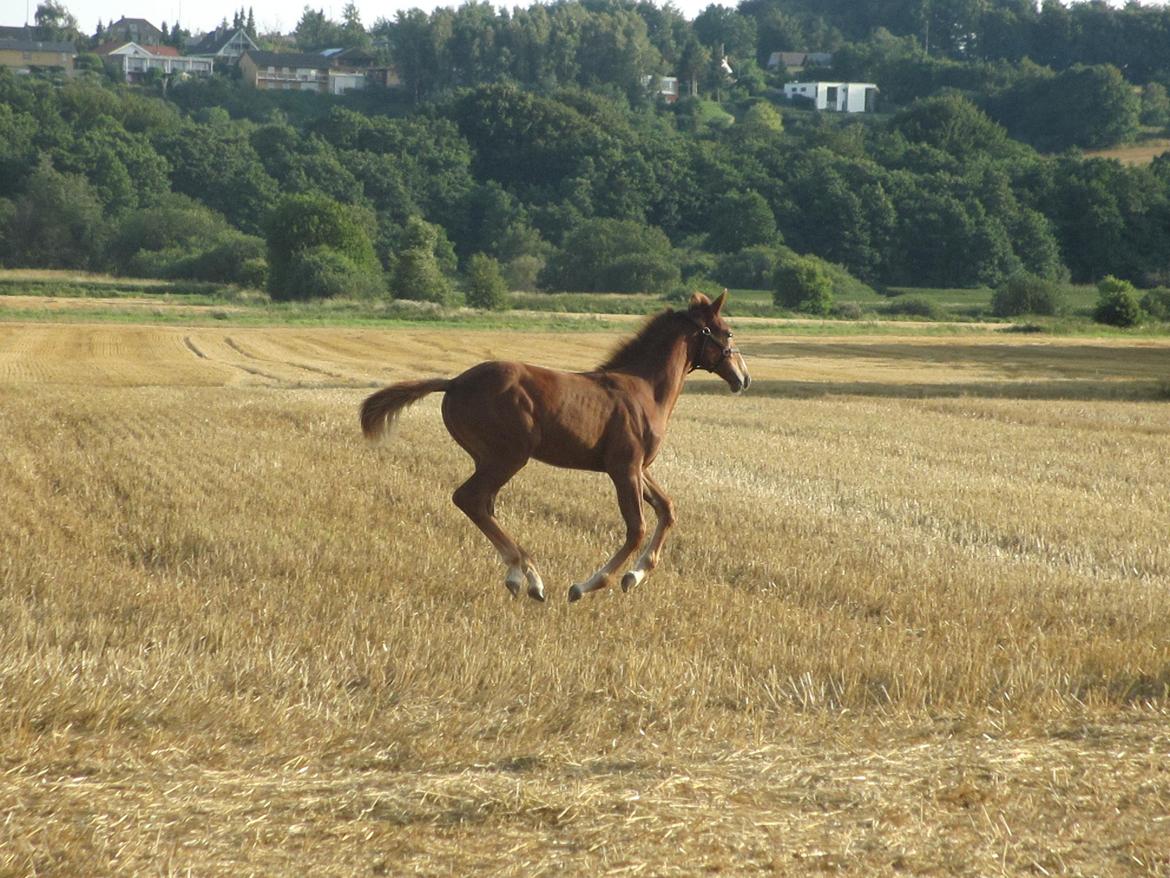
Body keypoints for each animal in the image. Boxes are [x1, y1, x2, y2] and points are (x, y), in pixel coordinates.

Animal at [360, 293, 753, 604]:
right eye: (728, 332)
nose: (744, 377)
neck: (644, 390)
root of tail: (454, 382)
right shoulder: (624, 467)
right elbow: (637, 526)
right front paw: (587, 585)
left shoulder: (638, 467)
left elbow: (667, 509)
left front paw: (635, 576)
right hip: (507, 456)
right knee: (470, 498)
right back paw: (531, 579)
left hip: (489, 458)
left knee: (484, 504)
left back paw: (520, 576)